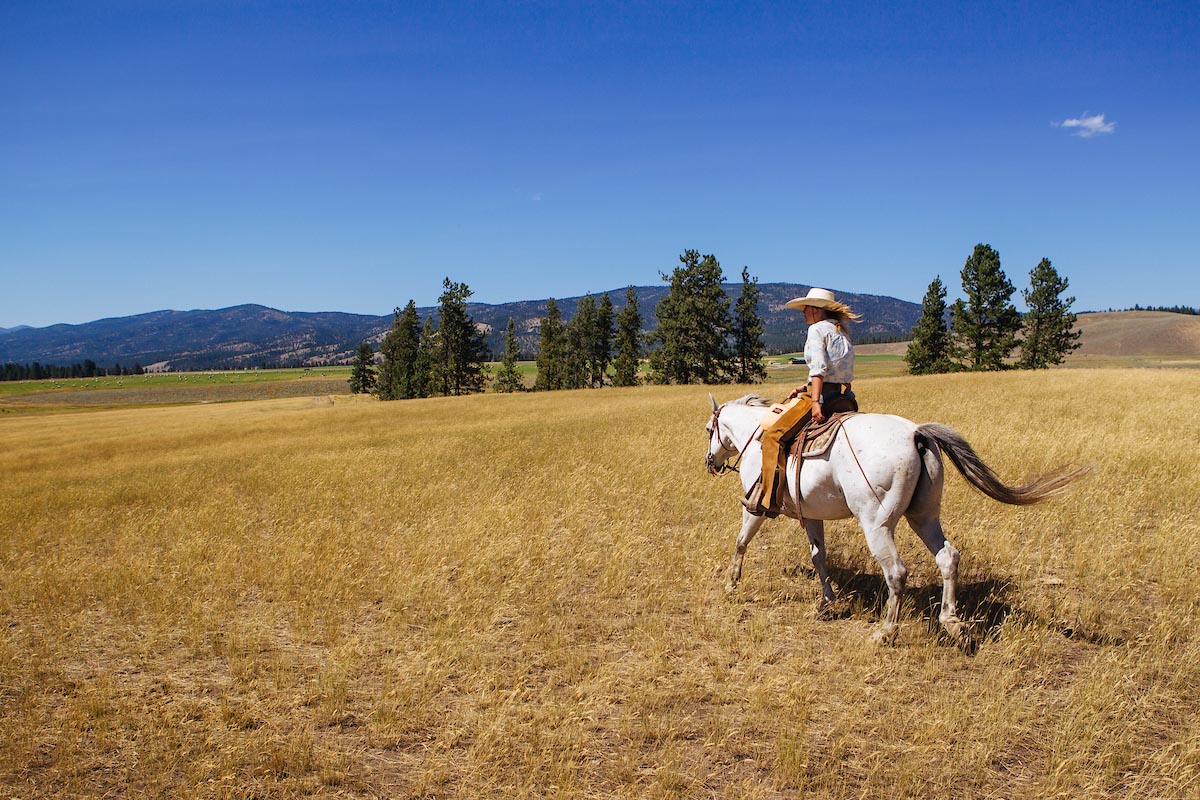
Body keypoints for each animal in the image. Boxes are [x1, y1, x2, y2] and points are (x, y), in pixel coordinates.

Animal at [700, 398, 1089, 647]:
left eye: (709, 428)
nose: (710, 462)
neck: (759, 434)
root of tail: (916, 433)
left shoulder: (755, 506)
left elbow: (741, 541)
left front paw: (731, 584)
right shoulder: (811, 515)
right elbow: (819, 556)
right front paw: (827, 601)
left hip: (877, 524)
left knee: (897, 573)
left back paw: (887, 632)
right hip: (924, 516)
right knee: (948, 557)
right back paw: (952, 623)